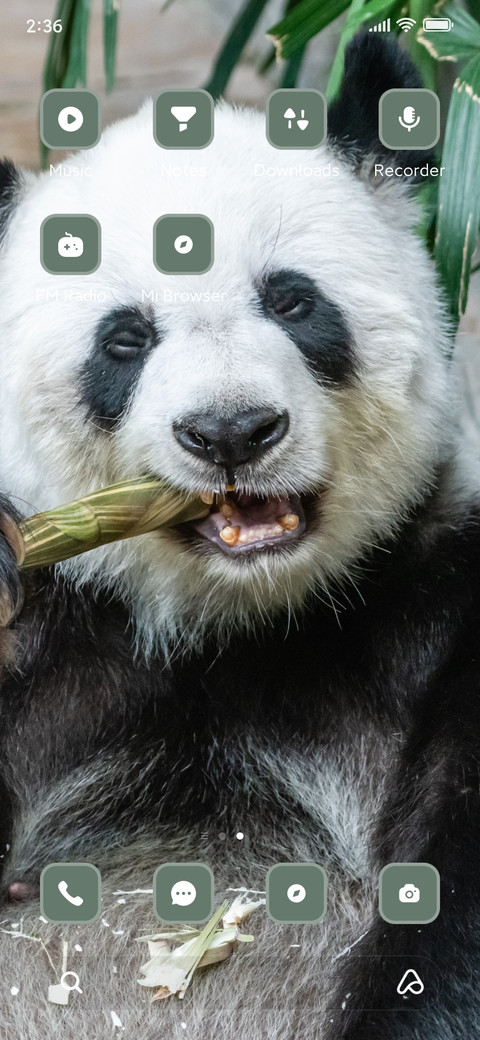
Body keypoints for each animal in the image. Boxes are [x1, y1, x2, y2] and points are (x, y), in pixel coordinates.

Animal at [0, 30, 479, 1040]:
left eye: (292, 302)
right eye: (126, 338)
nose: (230, 431)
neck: (234, 621)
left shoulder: (438, 586)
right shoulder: (68, 635)